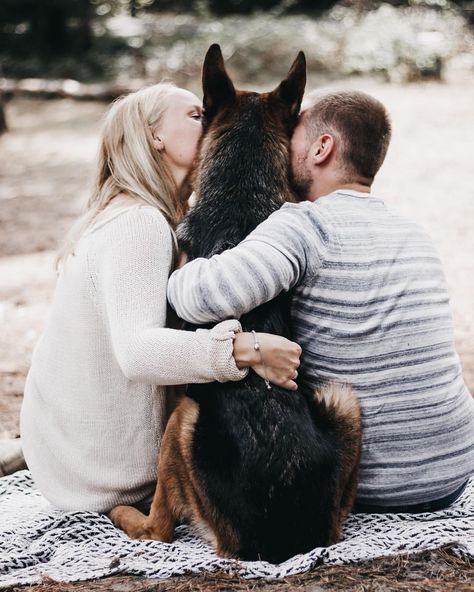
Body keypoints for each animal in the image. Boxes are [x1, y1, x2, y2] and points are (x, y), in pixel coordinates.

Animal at [110, 44, 362, 560]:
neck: (240, 195)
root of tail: (285, 544)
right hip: (344, 400)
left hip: (183, 419)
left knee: (158, 530)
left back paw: (128, 514)